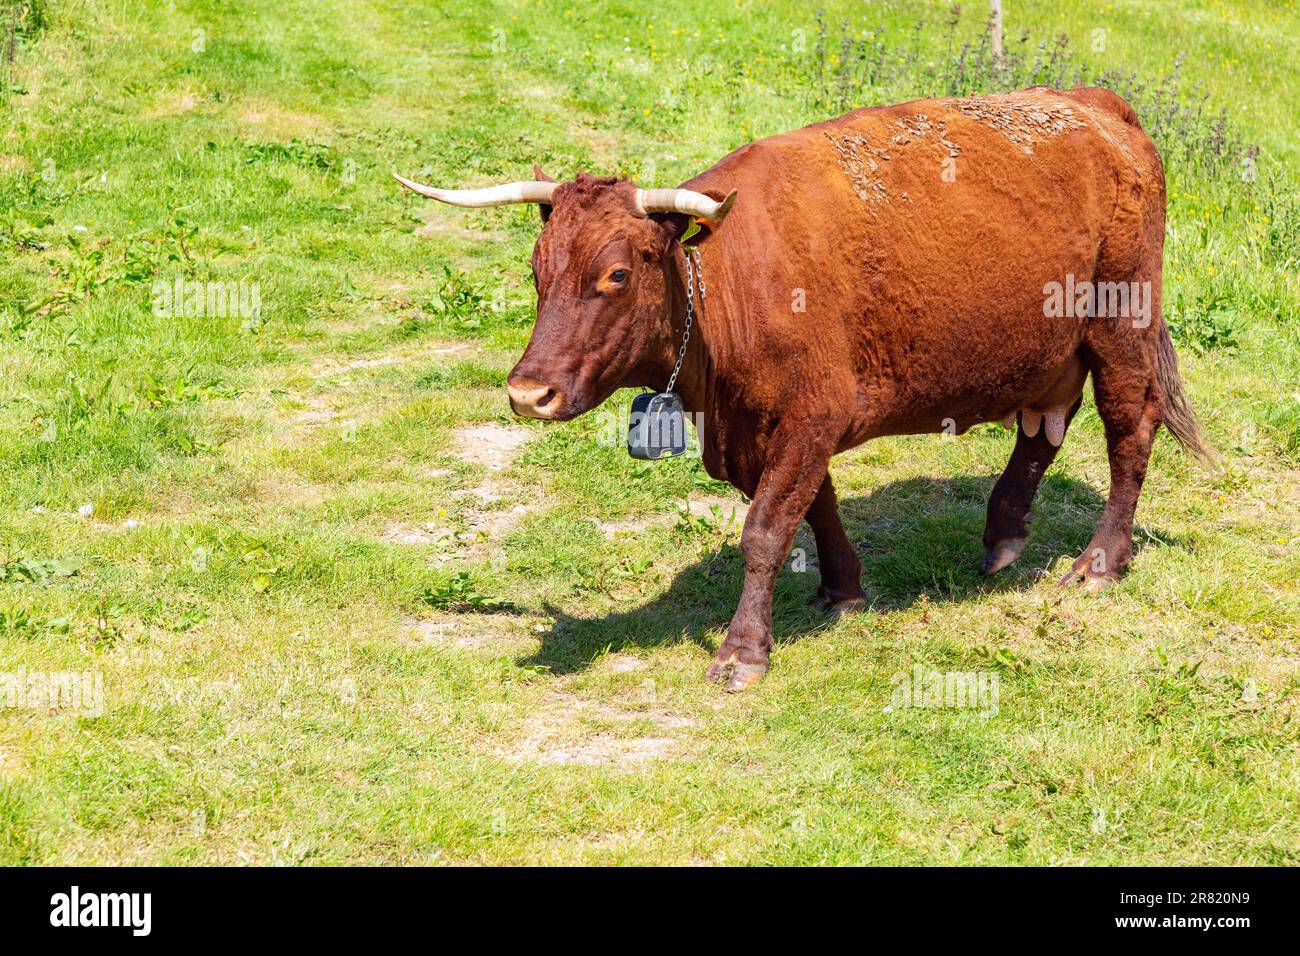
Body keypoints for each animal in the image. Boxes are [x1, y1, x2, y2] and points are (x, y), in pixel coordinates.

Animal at [396, 86, 1210, 692]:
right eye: (536, 269)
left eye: (616, 274)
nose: (526, 393)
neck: (728, 286)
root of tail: (1094, 103)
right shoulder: (777, 428)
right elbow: (814, 507)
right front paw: (843, 589)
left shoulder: (811, 414)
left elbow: (765, 530)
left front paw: (742, 651)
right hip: (1047, 348)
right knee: (1044, 428)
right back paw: (1004, 533)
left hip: (1121, 322)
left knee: (1128, 430)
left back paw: (1100, 563)